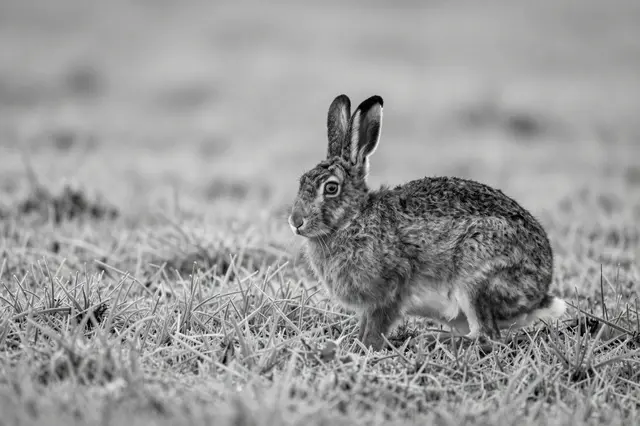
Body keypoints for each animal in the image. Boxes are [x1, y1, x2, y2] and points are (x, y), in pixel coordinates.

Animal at [288, 94, 566, 350]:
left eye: (331, 188)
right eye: (301, 181)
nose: (295, 221)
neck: (352, 220)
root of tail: (538, 294)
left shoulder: (389, 290)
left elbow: (376, 328)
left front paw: (363, 348)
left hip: (475, 279)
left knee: (487, 337)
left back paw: (431, 339)